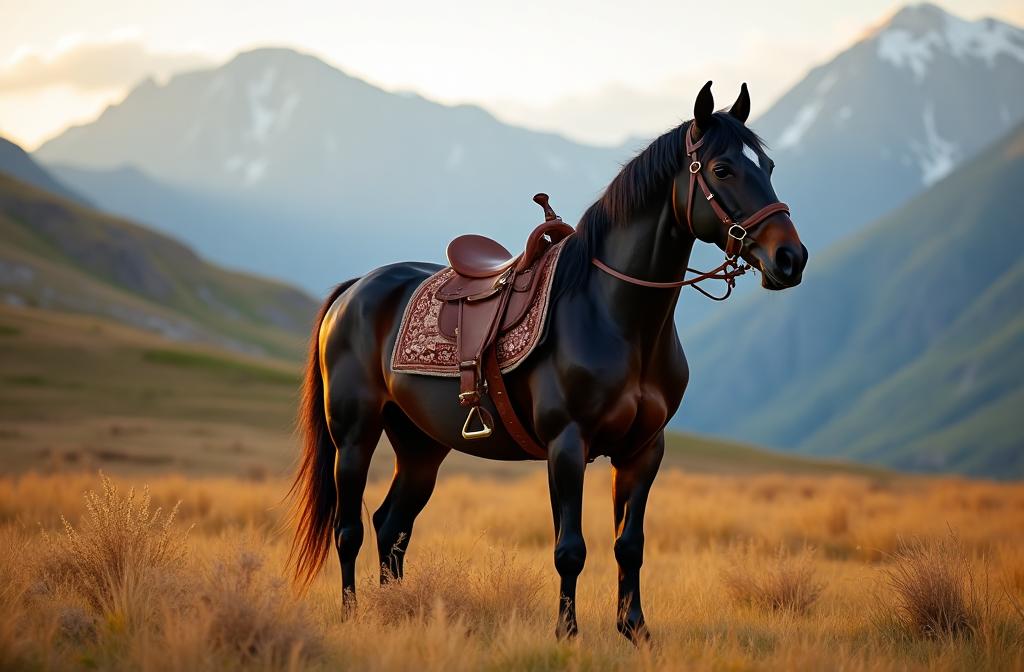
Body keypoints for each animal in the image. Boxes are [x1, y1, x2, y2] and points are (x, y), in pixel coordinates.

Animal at [289, 81, 808, 642]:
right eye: (723, 169)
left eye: (768, 166)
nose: (790, 258)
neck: (615, 317)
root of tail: (355, 289)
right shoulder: (567, 445)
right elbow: (570, 550)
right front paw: (567, 633)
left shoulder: (644, 450)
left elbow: (630, 545)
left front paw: (635, 630)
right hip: (354, 435)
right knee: (349, 531)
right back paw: (352, 616)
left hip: (421, 446)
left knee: (391, 527)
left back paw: (395, 614)